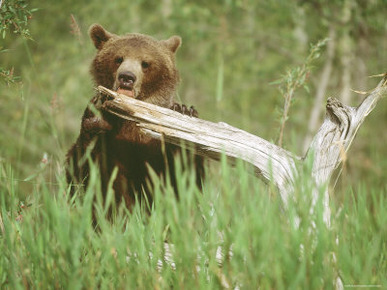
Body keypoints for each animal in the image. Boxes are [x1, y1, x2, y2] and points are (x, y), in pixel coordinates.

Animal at [66, 24, 206, 211]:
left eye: (145, 63)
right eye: (118, 58)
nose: (126, 77)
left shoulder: (152, 150)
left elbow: (184, 179)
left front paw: (183, 111)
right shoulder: (114, 151)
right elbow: (85, 177)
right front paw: (96, 116)